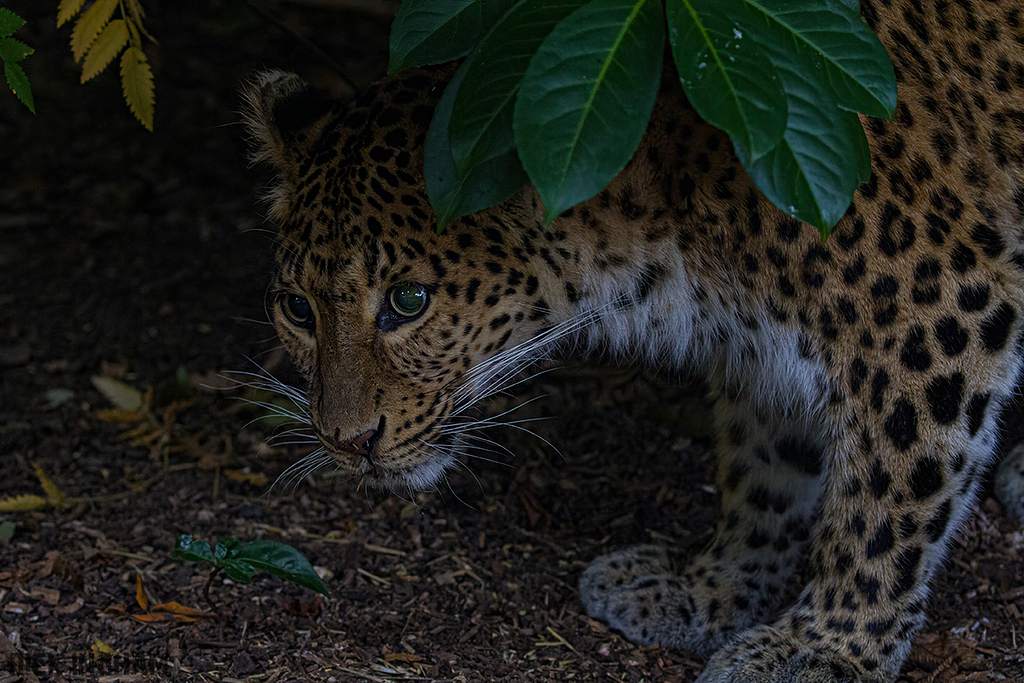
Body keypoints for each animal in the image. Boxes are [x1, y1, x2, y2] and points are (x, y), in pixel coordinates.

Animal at [242, 1, 1024, 680]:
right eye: (297, 308)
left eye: (409, 301)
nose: (346, 441)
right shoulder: (769, 346)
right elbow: (767, 462)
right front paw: (708, 588)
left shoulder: (937, 308)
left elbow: (886, 504)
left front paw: (825, 647)